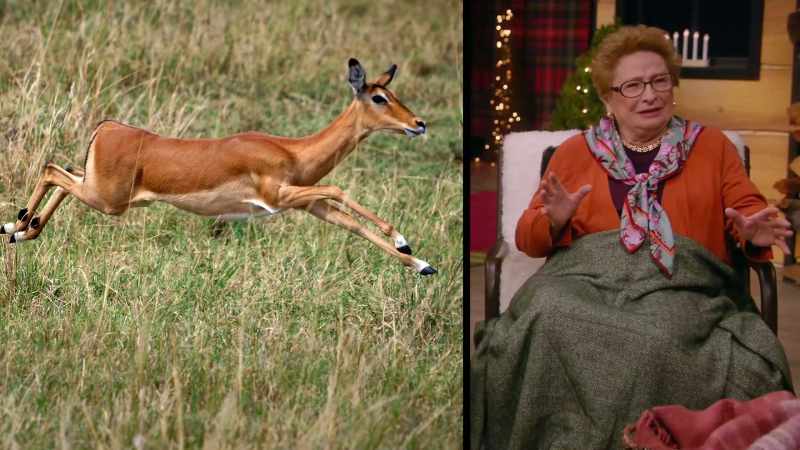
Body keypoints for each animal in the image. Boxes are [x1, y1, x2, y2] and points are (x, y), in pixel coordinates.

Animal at [2, 58, 437, 275]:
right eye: (379, 97)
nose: (419, 124)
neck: (293, 151)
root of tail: (107, 127)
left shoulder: (308, 204)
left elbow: (353, 225)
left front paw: (422, 264)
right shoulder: (278, 196)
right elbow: (340, 189)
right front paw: (405, 241)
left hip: (101, 190)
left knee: (61, 174)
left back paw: (20, 228)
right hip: (108, 200)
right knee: (51, 169)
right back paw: (16, 227)